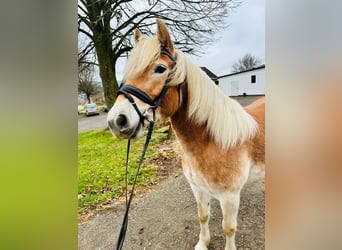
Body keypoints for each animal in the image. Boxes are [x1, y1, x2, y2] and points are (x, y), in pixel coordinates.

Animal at [107, 19, 264, 250]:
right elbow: (203, 216)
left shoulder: (230, 197)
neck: (211, 143)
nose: (116, 121)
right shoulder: (197, 188)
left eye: (160, 69)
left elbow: (228, 228)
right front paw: (202, 243)